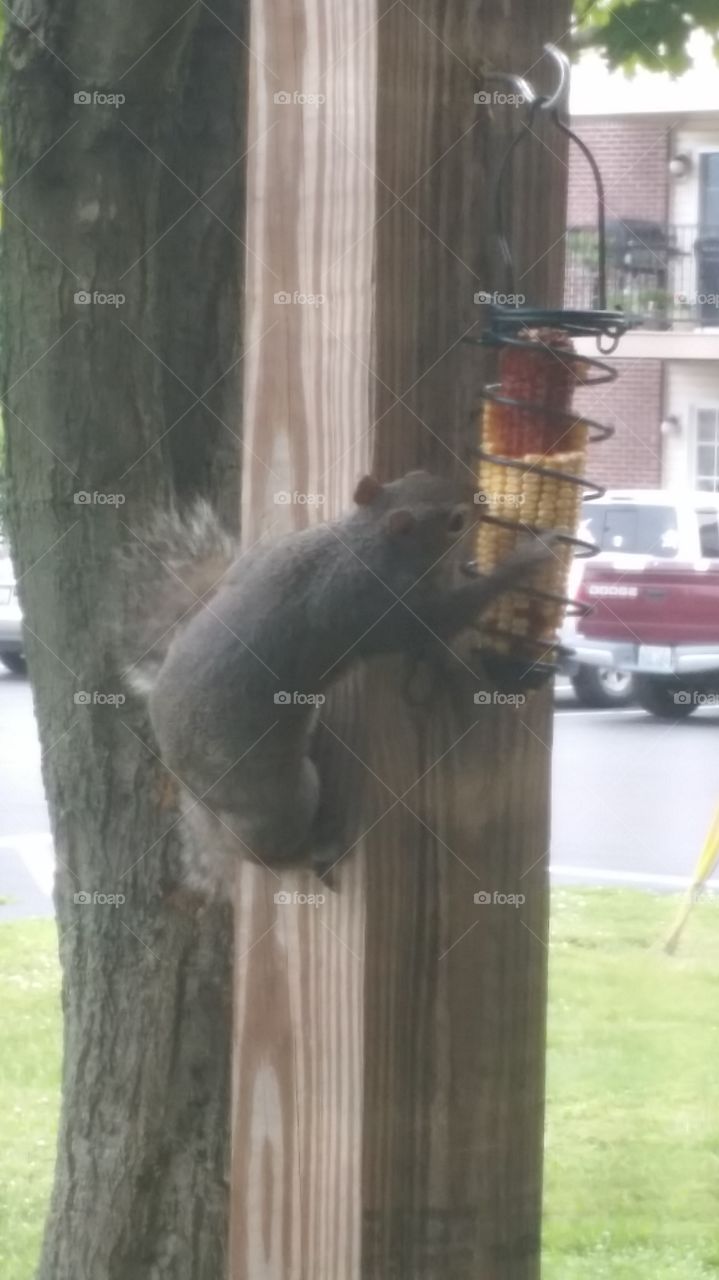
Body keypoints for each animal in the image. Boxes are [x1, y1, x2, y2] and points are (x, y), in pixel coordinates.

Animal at [121, 471, 555, 895]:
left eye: (418, 473)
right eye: (456, 521)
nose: (481, 495)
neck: (359, 544)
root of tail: (201, 799)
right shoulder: (380, 610)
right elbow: (443, 618)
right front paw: (525, 560)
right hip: (281, 797)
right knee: (266, 852)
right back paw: (310, 853)